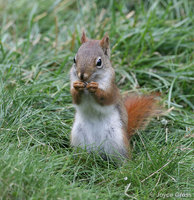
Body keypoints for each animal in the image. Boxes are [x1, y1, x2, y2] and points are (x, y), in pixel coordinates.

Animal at [69, 32, 161, 161]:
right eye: (74, 59)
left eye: (99, 62)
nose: (82, 75)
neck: (88, 83)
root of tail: (98, 151)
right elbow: (76, 99)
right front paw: (77, 86)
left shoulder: (111, 90)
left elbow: (106, 98)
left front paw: (95, 88)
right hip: (78, 136)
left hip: (118, 141)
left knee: (123, 159)